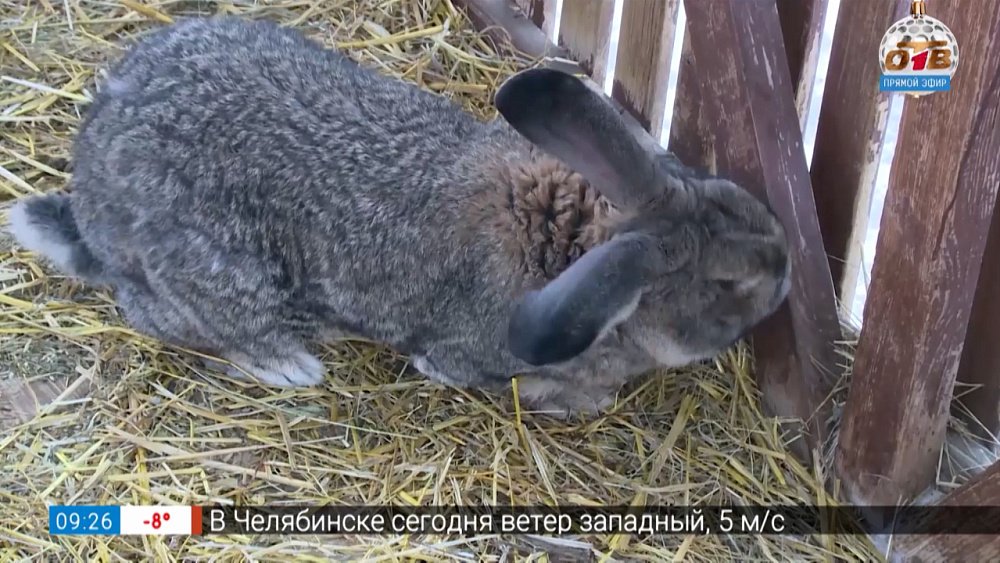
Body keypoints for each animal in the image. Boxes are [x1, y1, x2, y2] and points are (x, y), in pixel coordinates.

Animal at [6, 16, 792, 417]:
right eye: (726, 286)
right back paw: (290, 364)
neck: (583, 239)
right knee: (178, 318)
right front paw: (576, 399)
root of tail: (93, 204)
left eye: (739, 199)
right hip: (222, 274)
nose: (786, 268)